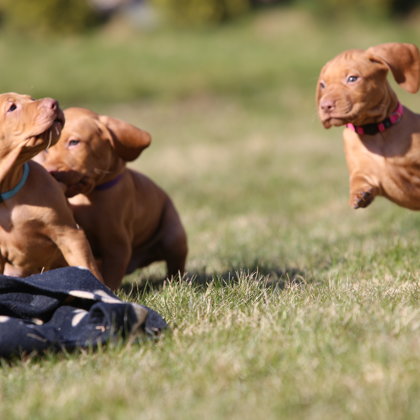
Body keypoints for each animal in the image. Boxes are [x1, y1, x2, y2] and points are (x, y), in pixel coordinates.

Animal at [35, 107, 188, 290]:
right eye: (46, 149)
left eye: (74, 142)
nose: (50, 172)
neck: (87, 195)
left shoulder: (116, 246)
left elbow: (110, 280)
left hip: (173, 235)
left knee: (176, 265)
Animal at [317, 42, 420, 210]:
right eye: (322, 85)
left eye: (352, 79)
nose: (325, 106)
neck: (375, 130)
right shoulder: (363, 171)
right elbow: (358, 179)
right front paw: (358, 194)